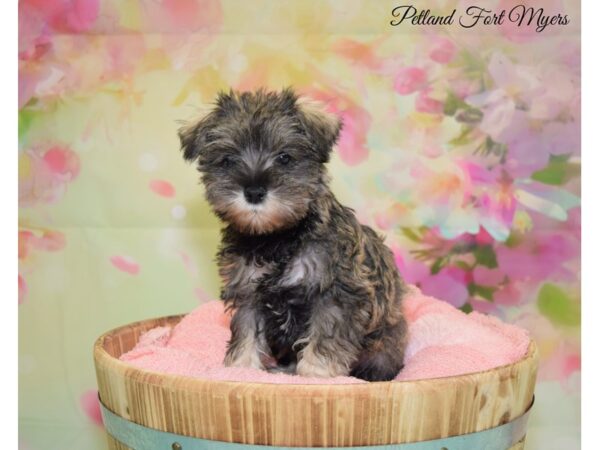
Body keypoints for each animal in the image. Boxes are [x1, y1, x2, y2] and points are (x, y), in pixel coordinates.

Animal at [179, 89, 408, 384]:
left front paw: (317, 373)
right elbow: (245, 332)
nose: (254, 191)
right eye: (227, 159)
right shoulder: (248, 294)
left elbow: (325, 336)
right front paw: (242, 368)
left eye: (285, 157)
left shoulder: (335, 293)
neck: (275, 237)